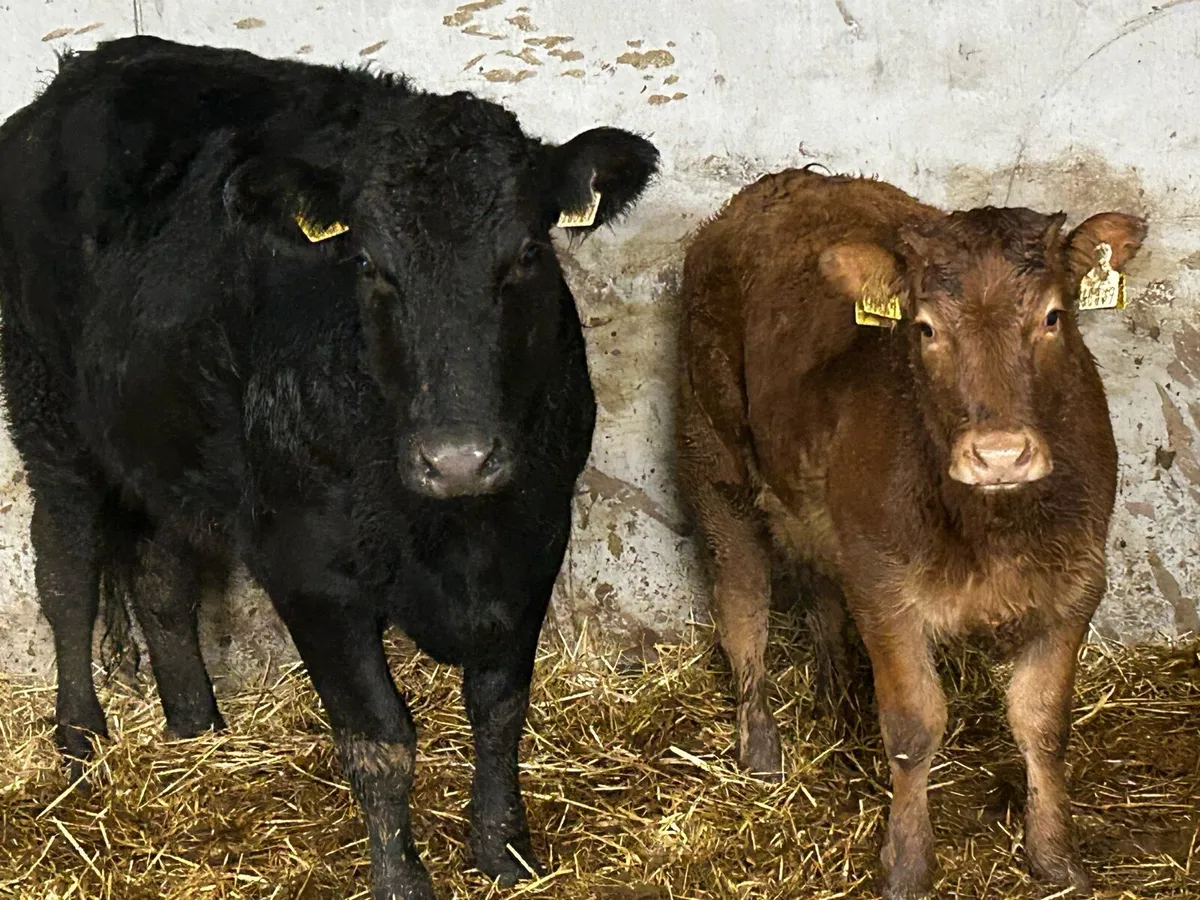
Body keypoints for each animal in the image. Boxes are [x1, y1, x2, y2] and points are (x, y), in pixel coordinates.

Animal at [0, 36, 658, 899]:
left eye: (526, 253)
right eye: (371, 263)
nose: (458, 460)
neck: (450, 534)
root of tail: (88, 65)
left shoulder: (537, 535)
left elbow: (500, 707)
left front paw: (505, 852)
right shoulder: (306, 566)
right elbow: (380, 738)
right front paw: (403, 880)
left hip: (167, 442)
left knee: (161, 578)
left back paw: (197, 729)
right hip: (46, 407)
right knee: (67, 569)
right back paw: (79, 740)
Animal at [675, 167, 1145, 898]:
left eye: (1053, 317)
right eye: (924, 328)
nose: (999, 454)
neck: (990, 529)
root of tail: (784, 182)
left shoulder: (1078, 582)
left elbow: (1041, 723)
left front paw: (1056, 858)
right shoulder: (884, 587)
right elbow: (914, 727)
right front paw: (906, 863)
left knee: (819, 588)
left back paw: (839, 702)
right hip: (712, 453)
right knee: (742, 603)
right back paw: (760, 746)